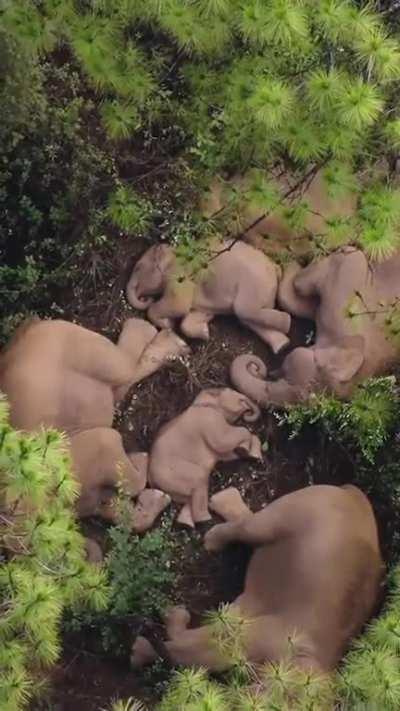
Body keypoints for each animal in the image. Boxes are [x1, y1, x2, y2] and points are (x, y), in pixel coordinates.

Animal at [126, 239, 292, 355]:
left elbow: (179, 305)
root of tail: (275, 269)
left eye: (137, 268)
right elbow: (190, 318)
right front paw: (205, 333)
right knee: (248, 319)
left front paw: (168, 324)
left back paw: (288, 323)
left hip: (254, 285)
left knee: (245, 311)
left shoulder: (180, 277)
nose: (145, 299)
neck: (174, 253)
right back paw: (282, 346)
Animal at [131, 483, 384, 674]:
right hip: (291, 510)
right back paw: (214, 536)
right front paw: (141, 650)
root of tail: (352, 495)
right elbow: (192, 648)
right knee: (247, 526)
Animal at [146, 388, 262, 527]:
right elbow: (222, 442)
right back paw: (207, 523)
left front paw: (244, 452)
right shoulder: (210, 419)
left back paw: (185, 524)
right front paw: (244, 448)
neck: (200, 402)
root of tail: (151, 480)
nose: (248, 411)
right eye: (231, 390)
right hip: (171, 473)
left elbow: (225, 454)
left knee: (189, 497)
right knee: (199, 478)